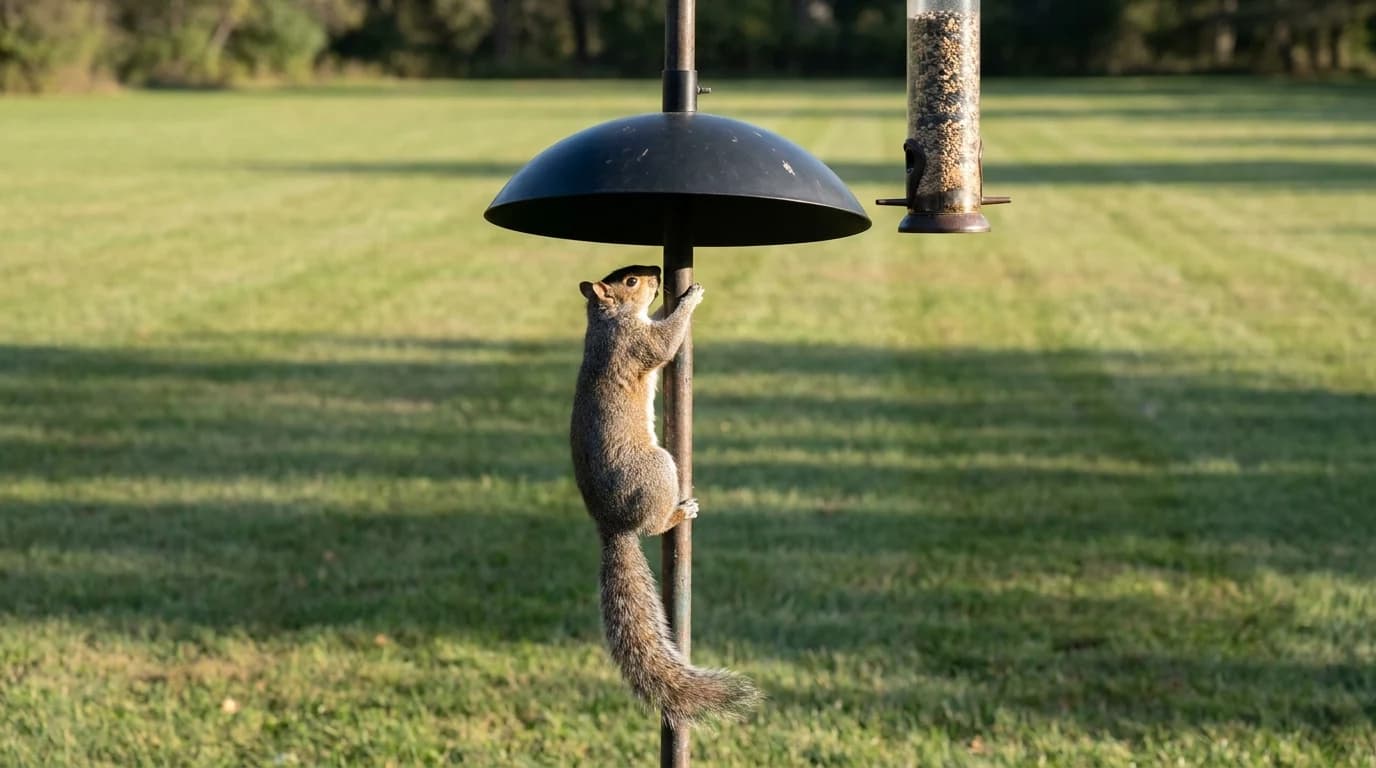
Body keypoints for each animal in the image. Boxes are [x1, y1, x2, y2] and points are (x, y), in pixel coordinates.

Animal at [570, 264, 761, 729]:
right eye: (630, 282)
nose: (656, 271)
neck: (606, 322)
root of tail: (612, 525)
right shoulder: (638, 345)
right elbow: (666, 342)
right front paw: (689, 299)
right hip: (658, 469)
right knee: (655, 525)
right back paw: (680, 512)